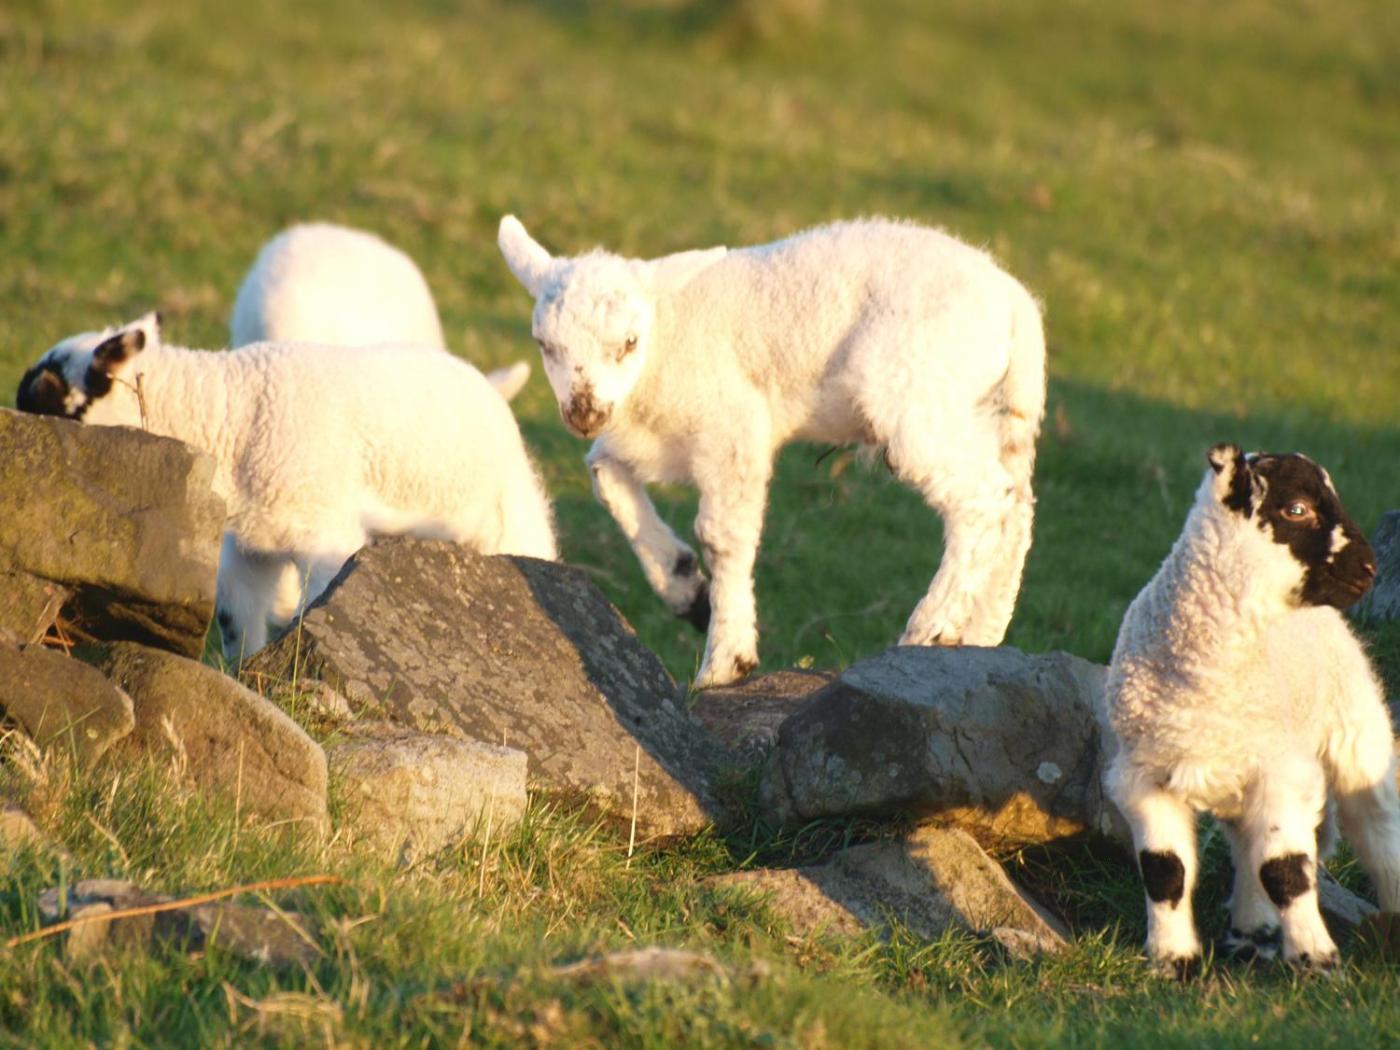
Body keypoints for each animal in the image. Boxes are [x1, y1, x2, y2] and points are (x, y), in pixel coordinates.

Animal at [15, 312, 558, 661]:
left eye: (48, 395)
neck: (231, 413)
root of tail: (484, 383)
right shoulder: (247, 549)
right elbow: (237, 623)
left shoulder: (326, 537)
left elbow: (313, 611)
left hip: (512, 521)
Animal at [497, 214, 1046, 687]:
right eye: (544, 344)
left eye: (629, 342)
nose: (582, 414)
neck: (663, 346)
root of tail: (1016, 305)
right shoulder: (646, 436)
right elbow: (603, 473)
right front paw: (687, 589)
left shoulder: (731, 427)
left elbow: (722, 536)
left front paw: (725, 661)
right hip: (982, 407)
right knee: (1015, 511)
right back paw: (980, 636)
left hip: (914, 386)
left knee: (981, 498)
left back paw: (930, 628)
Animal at [1104, 443, 1399, 975]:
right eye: (1296, 509)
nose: (1368, 569)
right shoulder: (1144, 775)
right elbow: (1165, 871)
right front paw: (1172, 961)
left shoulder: (1281, 768)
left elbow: (1286, 870)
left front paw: (1316, 961)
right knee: (1246, 845)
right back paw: (1251, 933)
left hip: (1356, 734)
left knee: (1379, 832)